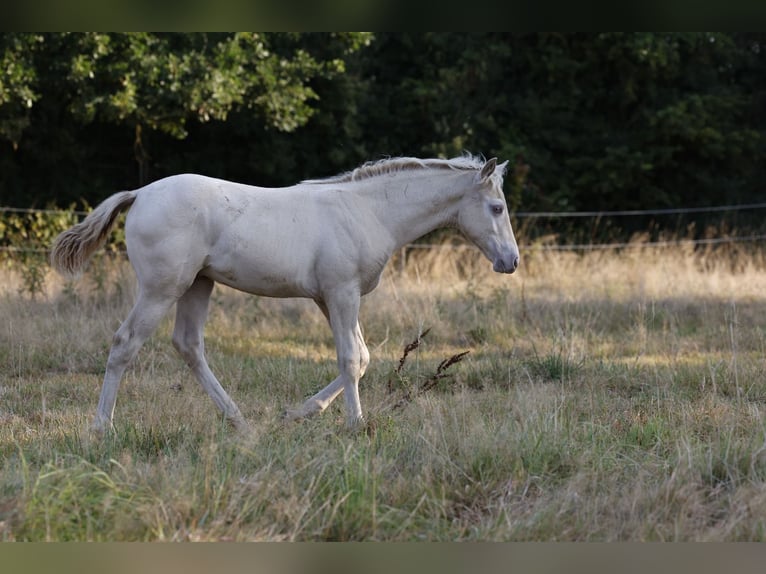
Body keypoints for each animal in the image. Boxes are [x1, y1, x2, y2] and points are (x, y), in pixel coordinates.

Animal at [50, 154, 520, 434]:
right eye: (496, 208)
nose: (511, 261)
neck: (369, 211)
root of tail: (140, 193)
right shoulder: (342, 292)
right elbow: (350, 359)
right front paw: (356, 424)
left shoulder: (330, 298)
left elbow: (363, 357)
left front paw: (299, 412)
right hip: (161, 288)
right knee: (125, 344)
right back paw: (102, 428)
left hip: (198, 284)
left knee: (188, 345)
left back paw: (240, 423)